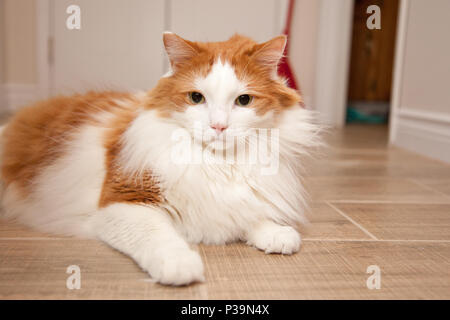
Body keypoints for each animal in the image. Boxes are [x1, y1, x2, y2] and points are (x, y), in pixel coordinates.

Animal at [0, 33, 320, 286]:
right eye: (196, 98)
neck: (215, 163)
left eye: (244, 101)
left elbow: (251, 213)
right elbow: (157, 236)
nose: (218, 126)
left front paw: (276, 233)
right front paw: (180, 264)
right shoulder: (124, 201)